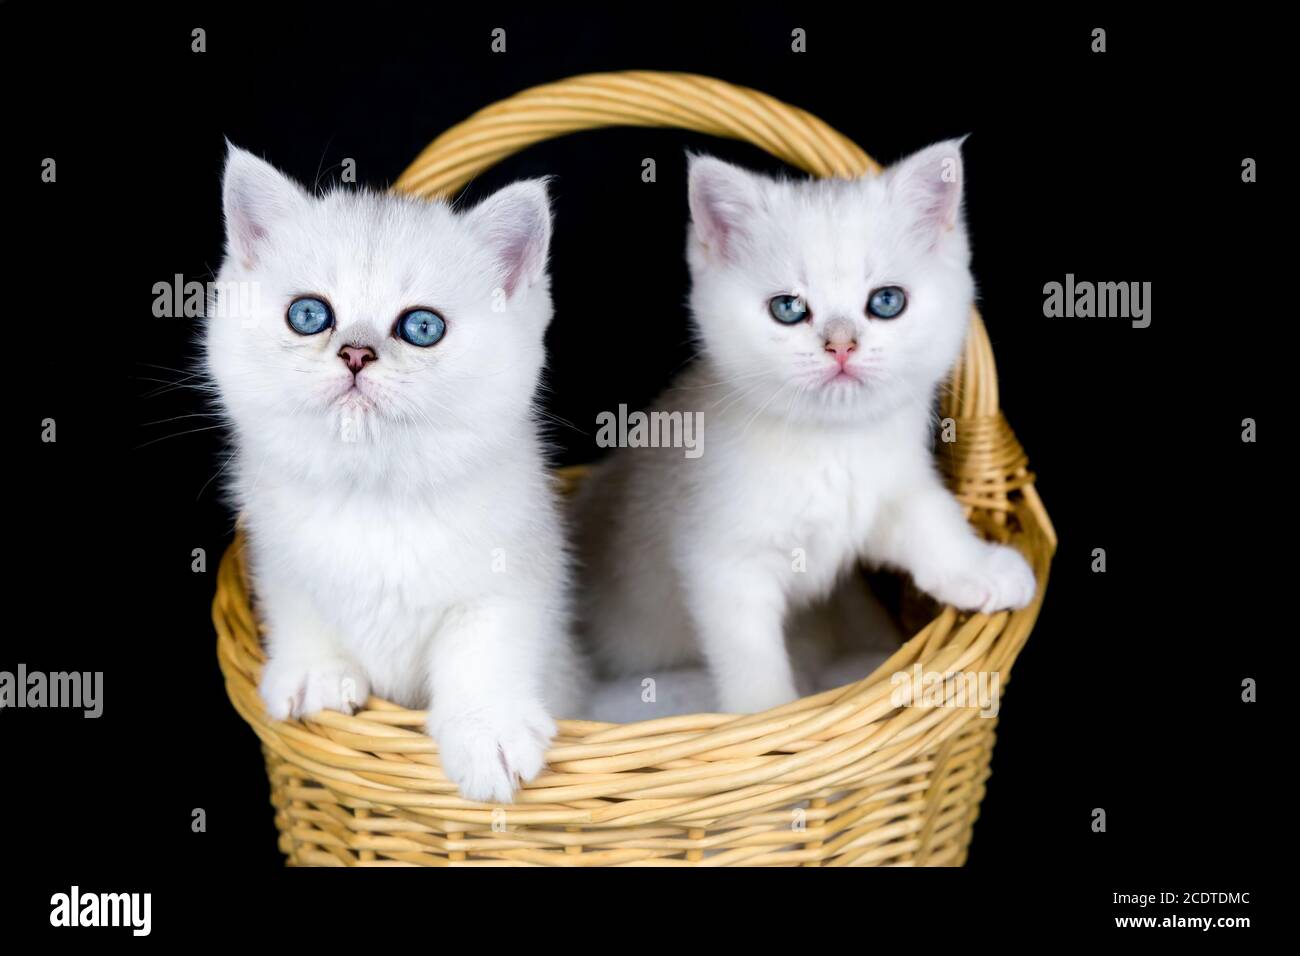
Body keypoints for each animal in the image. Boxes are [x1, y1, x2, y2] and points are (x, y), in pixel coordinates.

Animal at [205, 145, 582, 806]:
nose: (355, 353)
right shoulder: (277, 556)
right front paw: (316, 672)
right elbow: (298, 603)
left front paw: (487, 729)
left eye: (422, 327)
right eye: (309, 315)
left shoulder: (513, 575)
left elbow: (485, 646)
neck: (373, 494)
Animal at [577, 140, 1034, 712]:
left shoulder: (888, 486)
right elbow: (749, 657)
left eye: (887, 301)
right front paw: (766, 715)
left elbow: (932, 516)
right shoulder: (723, 563)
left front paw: (978, 567)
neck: (830, 445)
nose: (841, 345)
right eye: (789, 308)